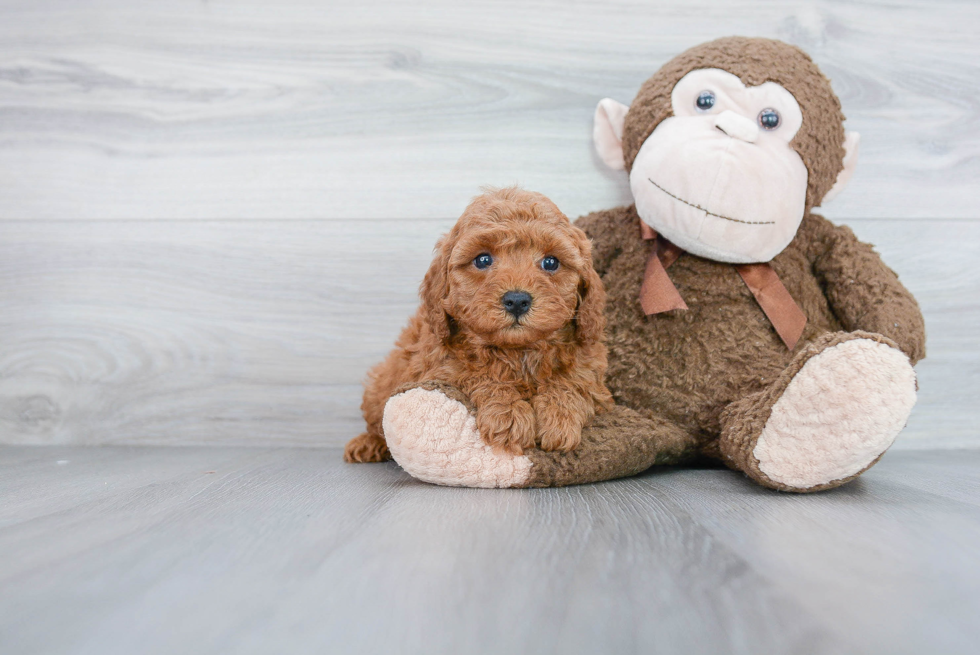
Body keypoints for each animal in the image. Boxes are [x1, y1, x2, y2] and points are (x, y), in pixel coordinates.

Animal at [342, 187, 612, 464]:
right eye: (483, 260)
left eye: (551, 262)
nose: (517, 300)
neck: (519, 351)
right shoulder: (439, 367)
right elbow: (476, 374)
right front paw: (509, 412)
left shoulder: (591, 368)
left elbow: (574, 381)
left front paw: (560, 416)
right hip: (381, 383)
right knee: (376, 420)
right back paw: (368, 444)